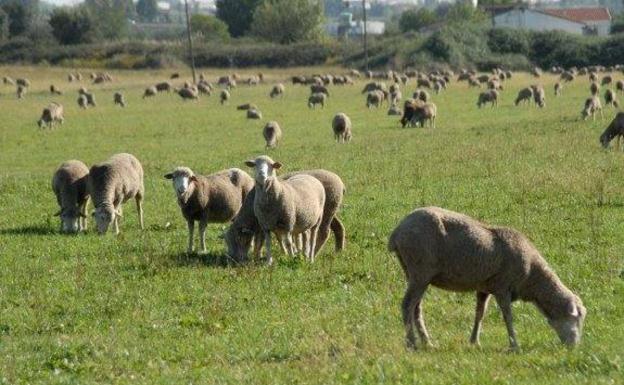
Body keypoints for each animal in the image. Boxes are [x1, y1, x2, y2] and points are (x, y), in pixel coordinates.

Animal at [388, 206, 588, 350]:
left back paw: (427, 342)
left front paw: (474, 341)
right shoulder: (502, 287)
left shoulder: (484, 288)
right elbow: (508, 316)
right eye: (577, 319)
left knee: (416, 308)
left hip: (414, 273)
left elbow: (480, 314)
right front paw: (514, 345)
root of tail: (397, 231)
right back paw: (412, 343)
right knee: (407, 305)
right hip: (420, 270)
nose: (574, 348)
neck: (532, 278)